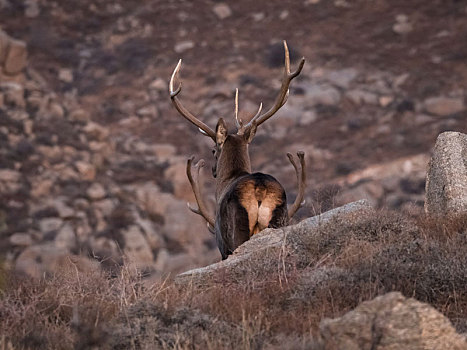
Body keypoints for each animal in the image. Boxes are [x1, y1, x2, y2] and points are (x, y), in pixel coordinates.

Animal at [168, 41, 308, 260]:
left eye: (213, 150)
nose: (213, 169)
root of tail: (260, 187)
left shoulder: (222, 244)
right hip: (279, 218)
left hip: (238, 229)